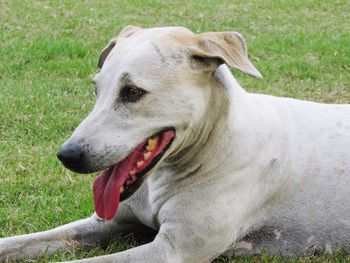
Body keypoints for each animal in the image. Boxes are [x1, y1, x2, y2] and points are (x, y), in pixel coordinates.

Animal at [0, 25, 350, 263]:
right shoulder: (108, 222)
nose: (67, 155)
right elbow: (18, 242)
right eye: (96, 89)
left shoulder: (172, 250)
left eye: (133, 92)